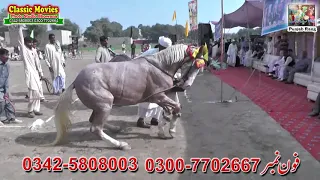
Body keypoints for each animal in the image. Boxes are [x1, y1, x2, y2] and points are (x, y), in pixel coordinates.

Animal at [51, 44, 204, 150]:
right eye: (195, 64)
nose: (185, 85)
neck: (160, 67)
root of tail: (76, 80)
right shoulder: (158, 97)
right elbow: (176, 108)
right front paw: (170, 130)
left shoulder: (165, 94)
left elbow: (173, 110)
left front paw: (164, 128)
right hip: (105, 104)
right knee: (96, 128)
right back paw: (121, 144)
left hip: (100, 105)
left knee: (92, 121)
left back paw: (114, 129)